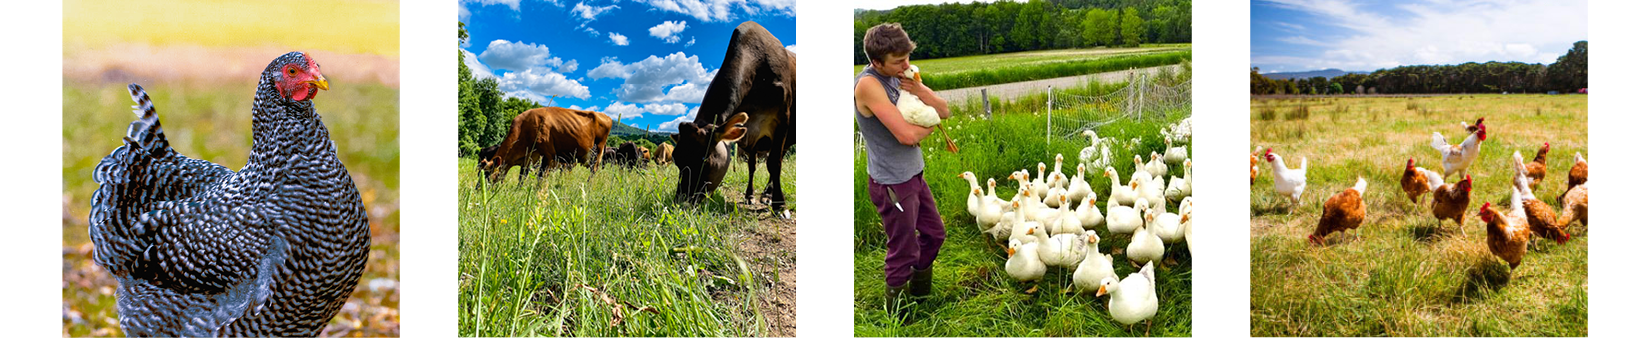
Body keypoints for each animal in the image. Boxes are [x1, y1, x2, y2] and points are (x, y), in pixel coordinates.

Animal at [673, 21, 795, 210]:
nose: (681, 203)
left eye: (703, 159)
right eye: (676, 159)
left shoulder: (783, 119)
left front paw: (780, 206)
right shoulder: (749, 136)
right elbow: (752, 166)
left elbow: (774, 163)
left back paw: (768, 195)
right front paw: (749, 195)